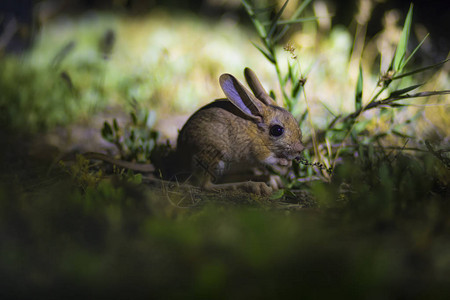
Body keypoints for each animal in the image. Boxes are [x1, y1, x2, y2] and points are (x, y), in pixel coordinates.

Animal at [176, 67, 306, 195]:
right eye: (277, 130)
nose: (300, 149)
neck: (257, 131)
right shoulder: (259, 152)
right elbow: (270, 159)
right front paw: (285, 162)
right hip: (212, 156)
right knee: (205, 185)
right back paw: (255, 185)